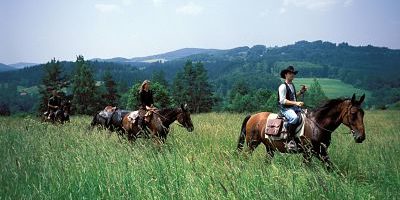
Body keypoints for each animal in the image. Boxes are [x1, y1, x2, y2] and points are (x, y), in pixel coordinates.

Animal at [238, 94, 366, 169]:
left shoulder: (321, 152)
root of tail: (253, 116)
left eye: (363, 113)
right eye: (353, 113)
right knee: (245, 156)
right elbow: (307, 167)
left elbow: (330, 167)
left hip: (269, 148)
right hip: (252, 144)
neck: (317, 124)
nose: (361, 137)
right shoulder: (307, 152)